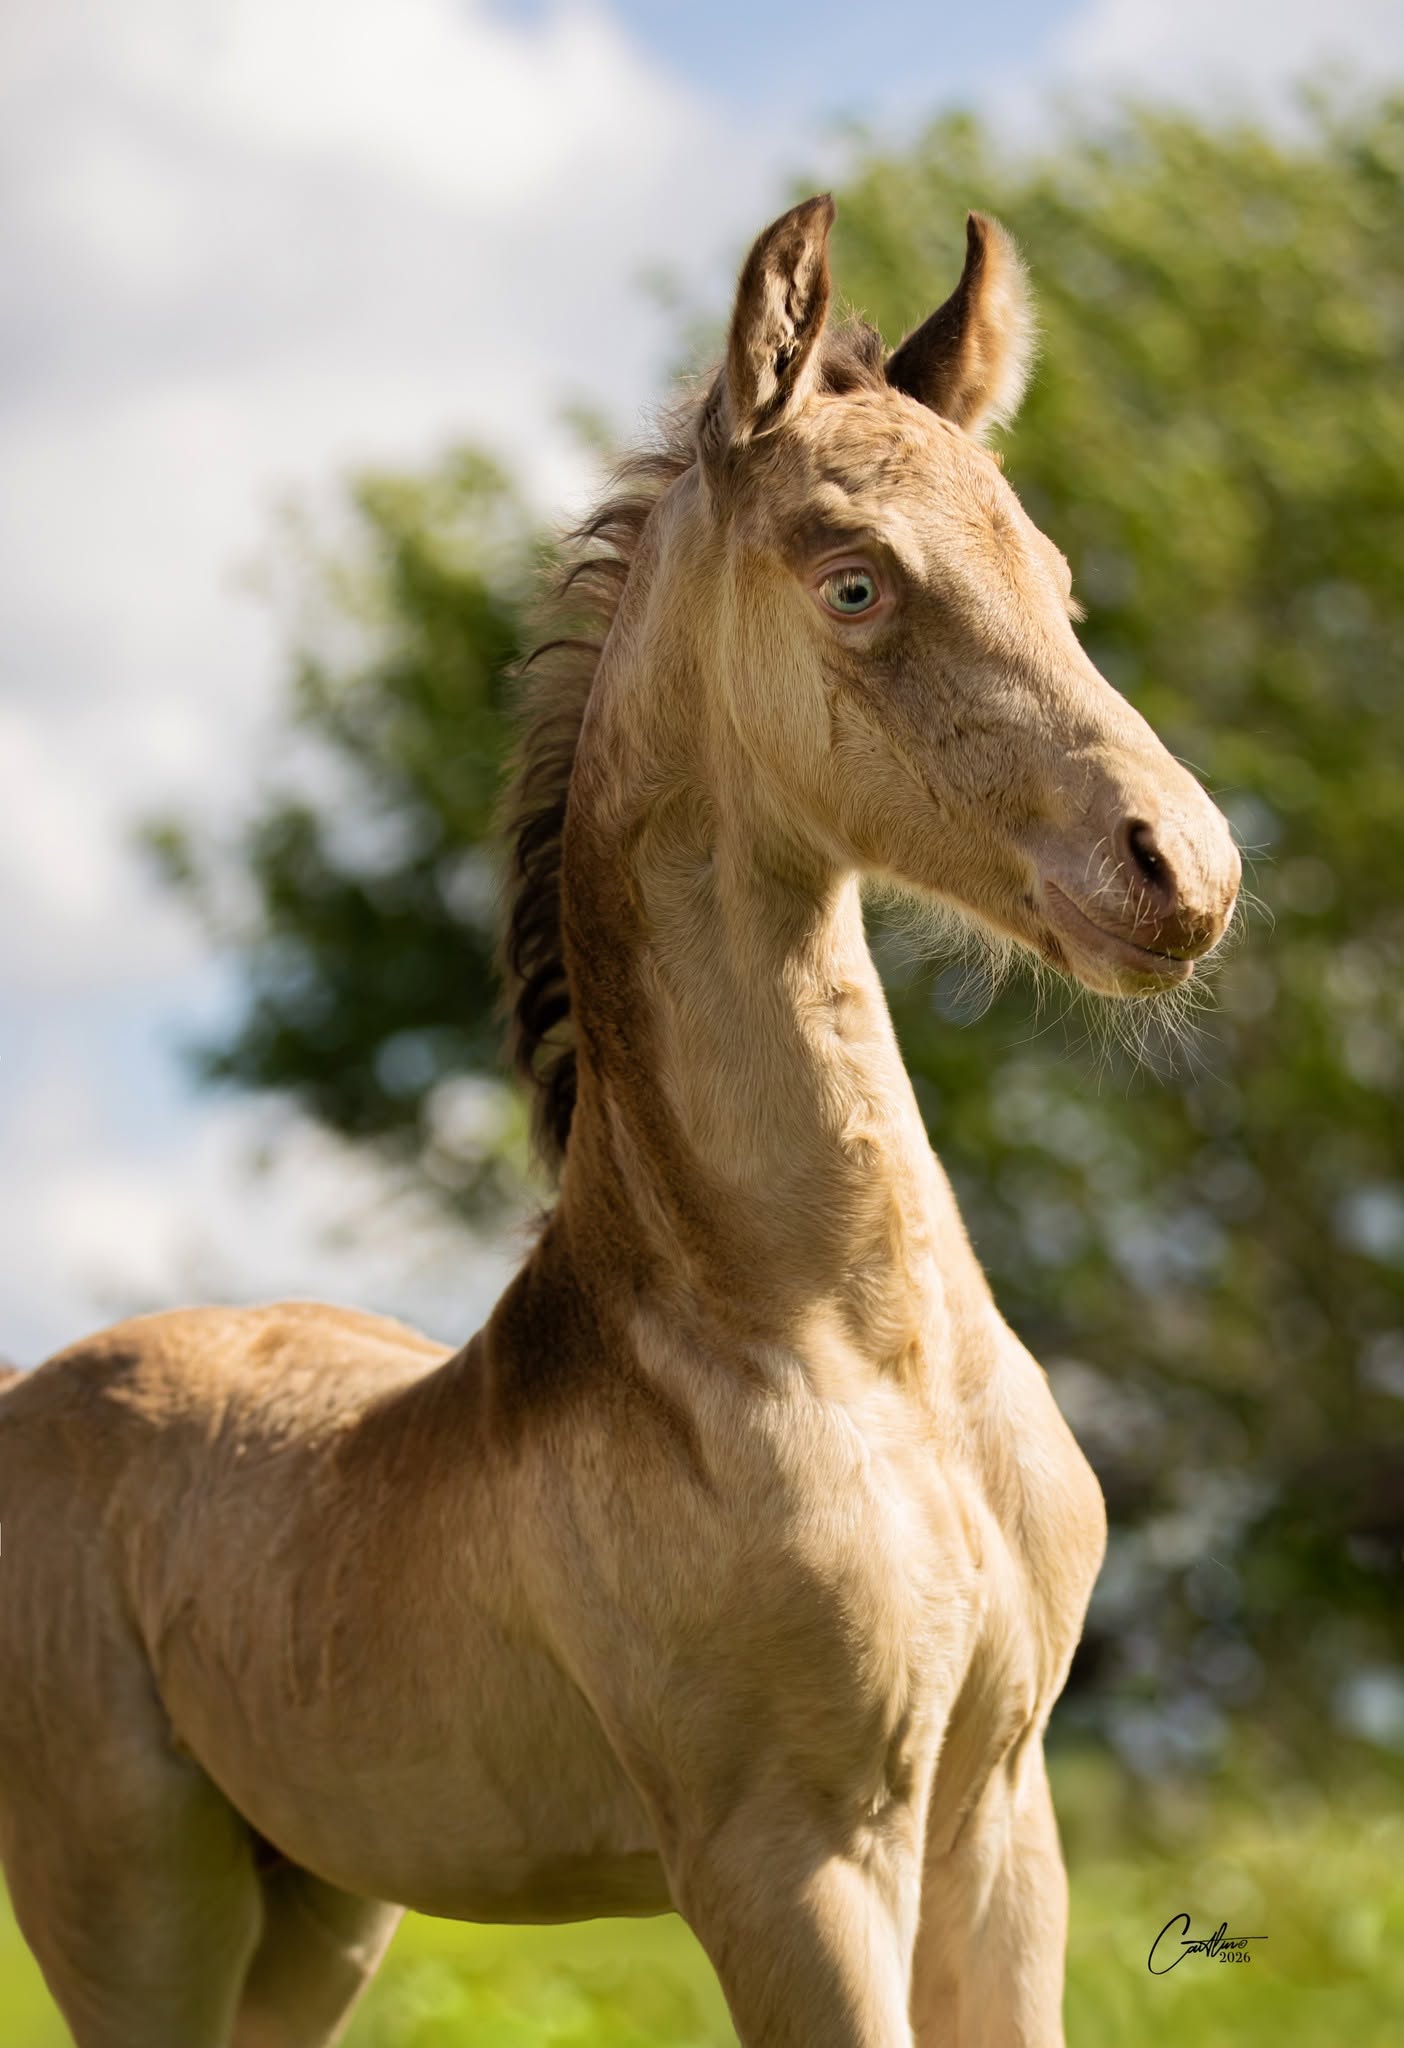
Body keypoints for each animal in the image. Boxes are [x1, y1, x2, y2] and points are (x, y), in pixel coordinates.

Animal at [0, 195, 1240, 2048]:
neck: (841, 1350)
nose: (1180, 871)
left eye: (1058, 582)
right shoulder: (793, 1859)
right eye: (855, 582)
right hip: (129, 1896)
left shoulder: (1000, 1824)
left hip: (316, 1912)